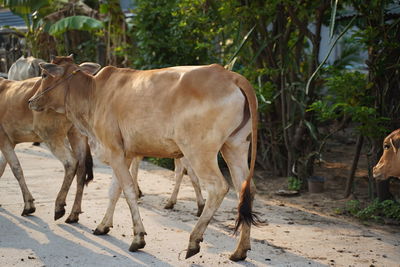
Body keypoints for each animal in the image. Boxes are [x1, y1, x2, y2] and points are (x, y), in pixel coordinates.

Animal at [0, 76, 93, 224]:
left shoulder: (3, 138)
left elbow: (16, 169)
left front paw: (29, 206)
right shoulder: (10, 141)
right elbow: (3, 168)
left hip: (50, 136)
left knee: (71, 162)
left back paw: (59, 207)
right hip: (76, 134)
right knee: (81, 168)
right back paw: (73, 214)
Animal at [28, 55, 260, 262]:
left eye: (44, 75)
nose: (31, 101)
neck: (93, 94)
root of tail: (231, 76)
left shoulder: (114, 151)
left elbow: (129, 190)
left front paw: (138, 238)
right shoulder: (124, 154)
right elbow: (114, 191)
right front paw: (103, 225)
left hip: (199, 151)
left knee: (218, 187)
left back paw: (194, 241)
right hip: (235, 147)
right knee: (245, 189)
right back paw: (240, 251)